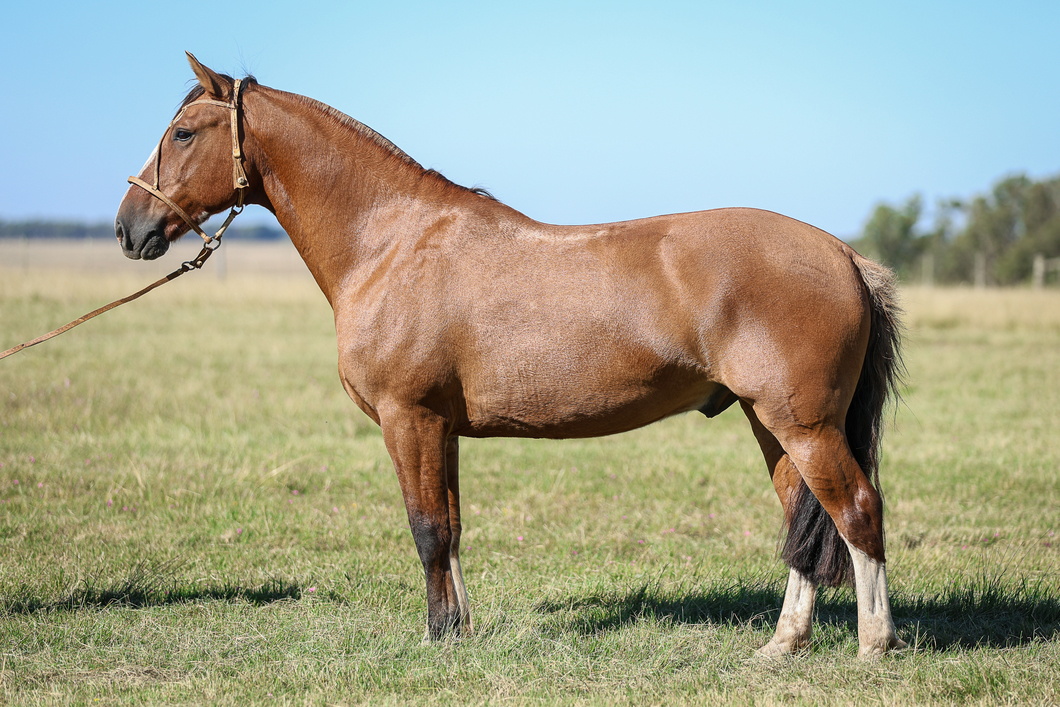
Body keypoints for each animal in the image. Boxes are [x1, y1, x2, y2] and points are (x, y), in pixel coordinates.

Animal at [118, 54, 911, 657]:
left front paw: (436, 637)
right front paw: (460, 630)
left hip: (804, 425)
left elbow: (426, 529)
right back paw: (781, 645)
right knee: (805, 525)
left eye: (183, 132)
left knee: (856, 511)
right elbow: (451, 526)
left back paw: (873, 645)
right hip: (770, 422)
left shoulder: (409, 420)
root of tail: (841, 254)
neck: (391, 240)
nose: (130, 228)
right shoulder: (440, 428)